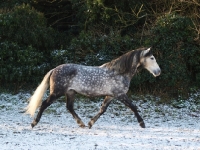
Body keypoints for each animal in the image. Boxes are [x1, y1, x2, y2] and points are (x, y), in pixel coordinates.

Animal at [25, 47, 161, 128]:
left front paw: (90, 123)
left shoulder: (111, 96)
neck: (119, 73)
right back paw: (34, 123)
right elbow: (133, 107)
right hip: (57, 92)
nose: (158, 72)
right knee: (44, 104)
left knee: (69, 107)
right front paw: (142, 123)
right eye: (152, 58)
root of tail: (54, 69)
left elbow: (102, 110)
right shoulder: (120, 95)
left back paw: (82, 124)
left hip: (70, 92)